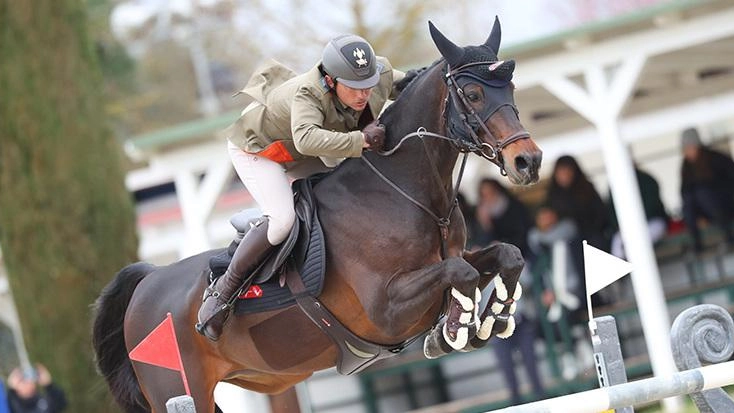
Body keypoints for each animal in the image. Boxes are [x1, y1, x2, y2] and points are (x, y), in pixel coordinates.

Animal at [92, 19, 544, 412]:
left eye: (511, 87)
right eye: (472, 94)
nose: (529, 161)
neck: (405, 192)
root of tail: (148, 280)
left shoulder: (449, 260)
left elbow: (505, 255)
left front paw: (492, 319)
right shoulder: (385, 310)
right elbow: (460, 274)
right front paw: (453, 331)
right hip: (181, 388)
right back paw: (213, 309)